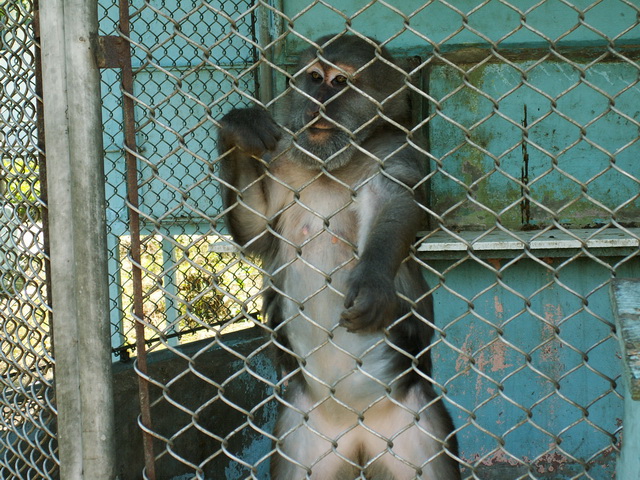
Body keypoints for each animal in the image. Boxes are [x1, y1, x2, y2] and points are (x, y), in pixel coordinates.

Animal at [217, 34, 460, 479]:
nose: (318, 100)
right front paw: (238, 130)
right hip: (303, 428)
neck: (333, 164)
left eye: (339, 82)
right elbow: (257, 228)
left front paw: (373, 281)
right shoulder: (284, 157)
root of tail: (356, 429)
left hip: (415, 422)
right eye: (314, 78)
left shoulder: (395, 150)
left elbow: (393, 201)